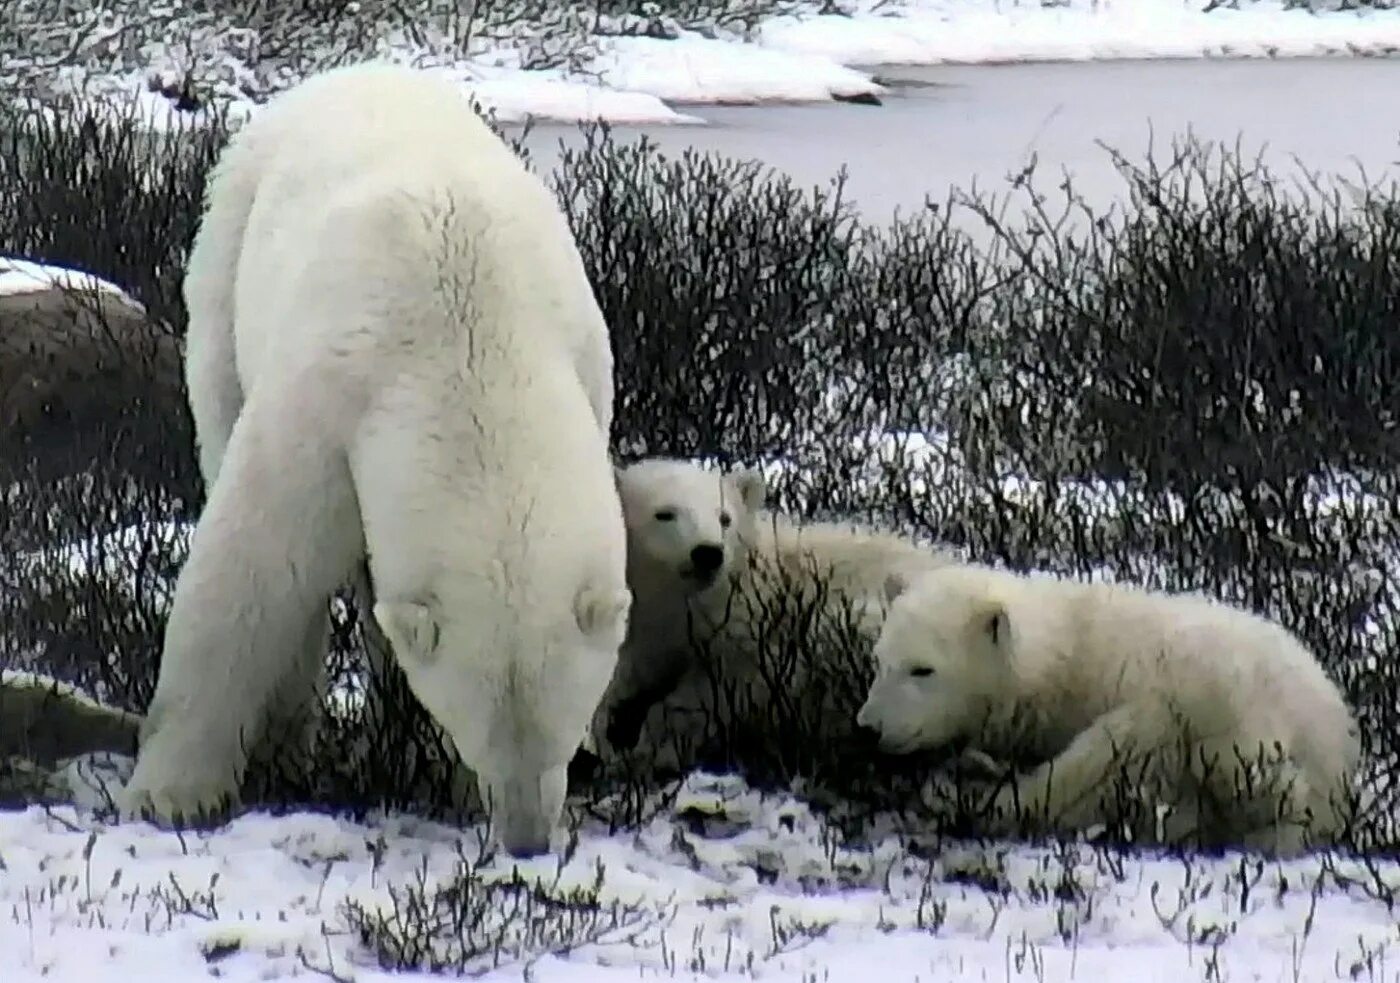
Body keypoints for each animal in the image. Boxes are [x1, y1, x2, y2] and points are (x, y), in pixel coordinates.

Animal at [117, 65, 632, 856]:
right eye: (478, 732)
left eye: (565, 737)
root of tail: (350, 74)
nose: (527, 839)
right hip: (227, 263)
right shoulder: (331, 393)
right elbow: (253, 562)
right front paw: (171, 794)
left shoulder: (583, 361)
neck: (471, 326)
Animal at [856, 565, 1360, 856]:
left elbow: (1100, 764)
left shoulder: (1156, 697)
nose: (869, 728)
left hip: (1238, 719)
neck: (1073, 659)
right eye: (880, 660)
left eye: (923, 669)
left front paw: (980, 793)